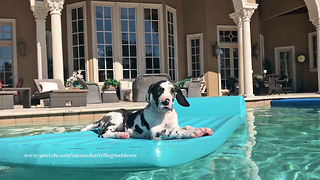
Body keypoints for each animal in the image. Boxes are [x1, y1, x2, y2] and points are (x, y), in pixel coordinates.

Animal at [81, 81, 214, 140]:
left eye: (172, 91)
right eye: (159, 90)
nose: (166, 101)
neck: (165, 115)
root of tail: (102, 119)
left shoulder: (174, 124)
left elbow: (185, 126)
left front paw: (200, 129)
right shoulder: (156, 131)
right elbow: (175, 131)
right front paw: (192, 132)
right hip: (118, 117)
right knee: (103, 133)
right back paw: (121, 134)